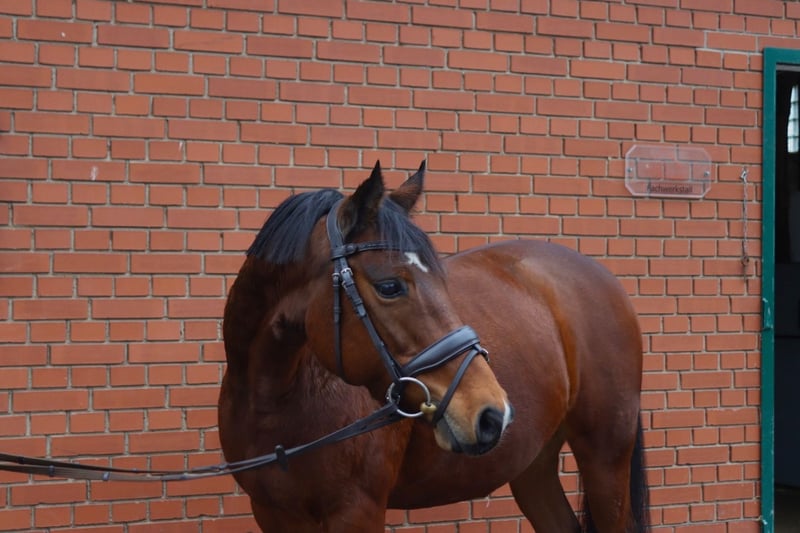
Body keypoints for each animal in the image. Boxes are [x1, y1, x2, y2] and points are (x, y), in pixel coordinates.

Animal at [218, 161, 649, 532]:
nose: (491, 414)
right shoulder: (272, 513)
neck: (276, 400)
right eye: (390, 286)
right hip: (533, 464)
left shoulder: (356, 510)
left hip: (606, 458)